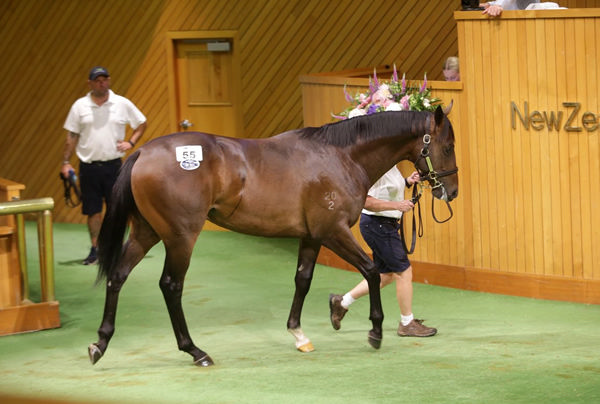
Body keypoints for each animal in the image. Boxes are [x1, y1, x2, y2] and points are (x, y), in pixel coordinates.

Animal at [88, 105, 454, 368]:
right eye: (447, 146)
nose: (450, 191)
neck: (340, 156)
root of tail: (143, 153)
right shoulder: (332, 231)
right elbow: (372, 270)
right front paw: (375, 331)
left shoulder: (311, 236)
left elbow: (303, 280)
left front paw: (299, 334)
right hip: (180, 237)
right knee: (171, 286)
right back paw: (195, 351)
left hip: (146, 232)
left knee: (118, 276)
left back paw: (100, 343)